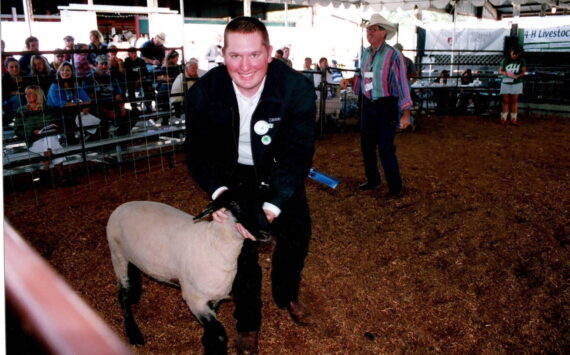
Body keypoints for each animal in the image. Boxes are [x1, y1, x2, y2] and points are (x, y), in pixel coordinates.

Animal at [107, 192, 272, 355]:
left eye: (261, 201)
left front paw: (207, 343)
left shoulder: (213, 298)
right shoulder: (195, 299)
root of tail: (122, 206)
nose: (266, 232)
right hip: (118, 255)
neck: (212, 244)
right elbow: (219, 334)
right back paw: (134, 334)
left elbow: (212, 330)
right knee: (123, 296)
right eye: (234, 203)